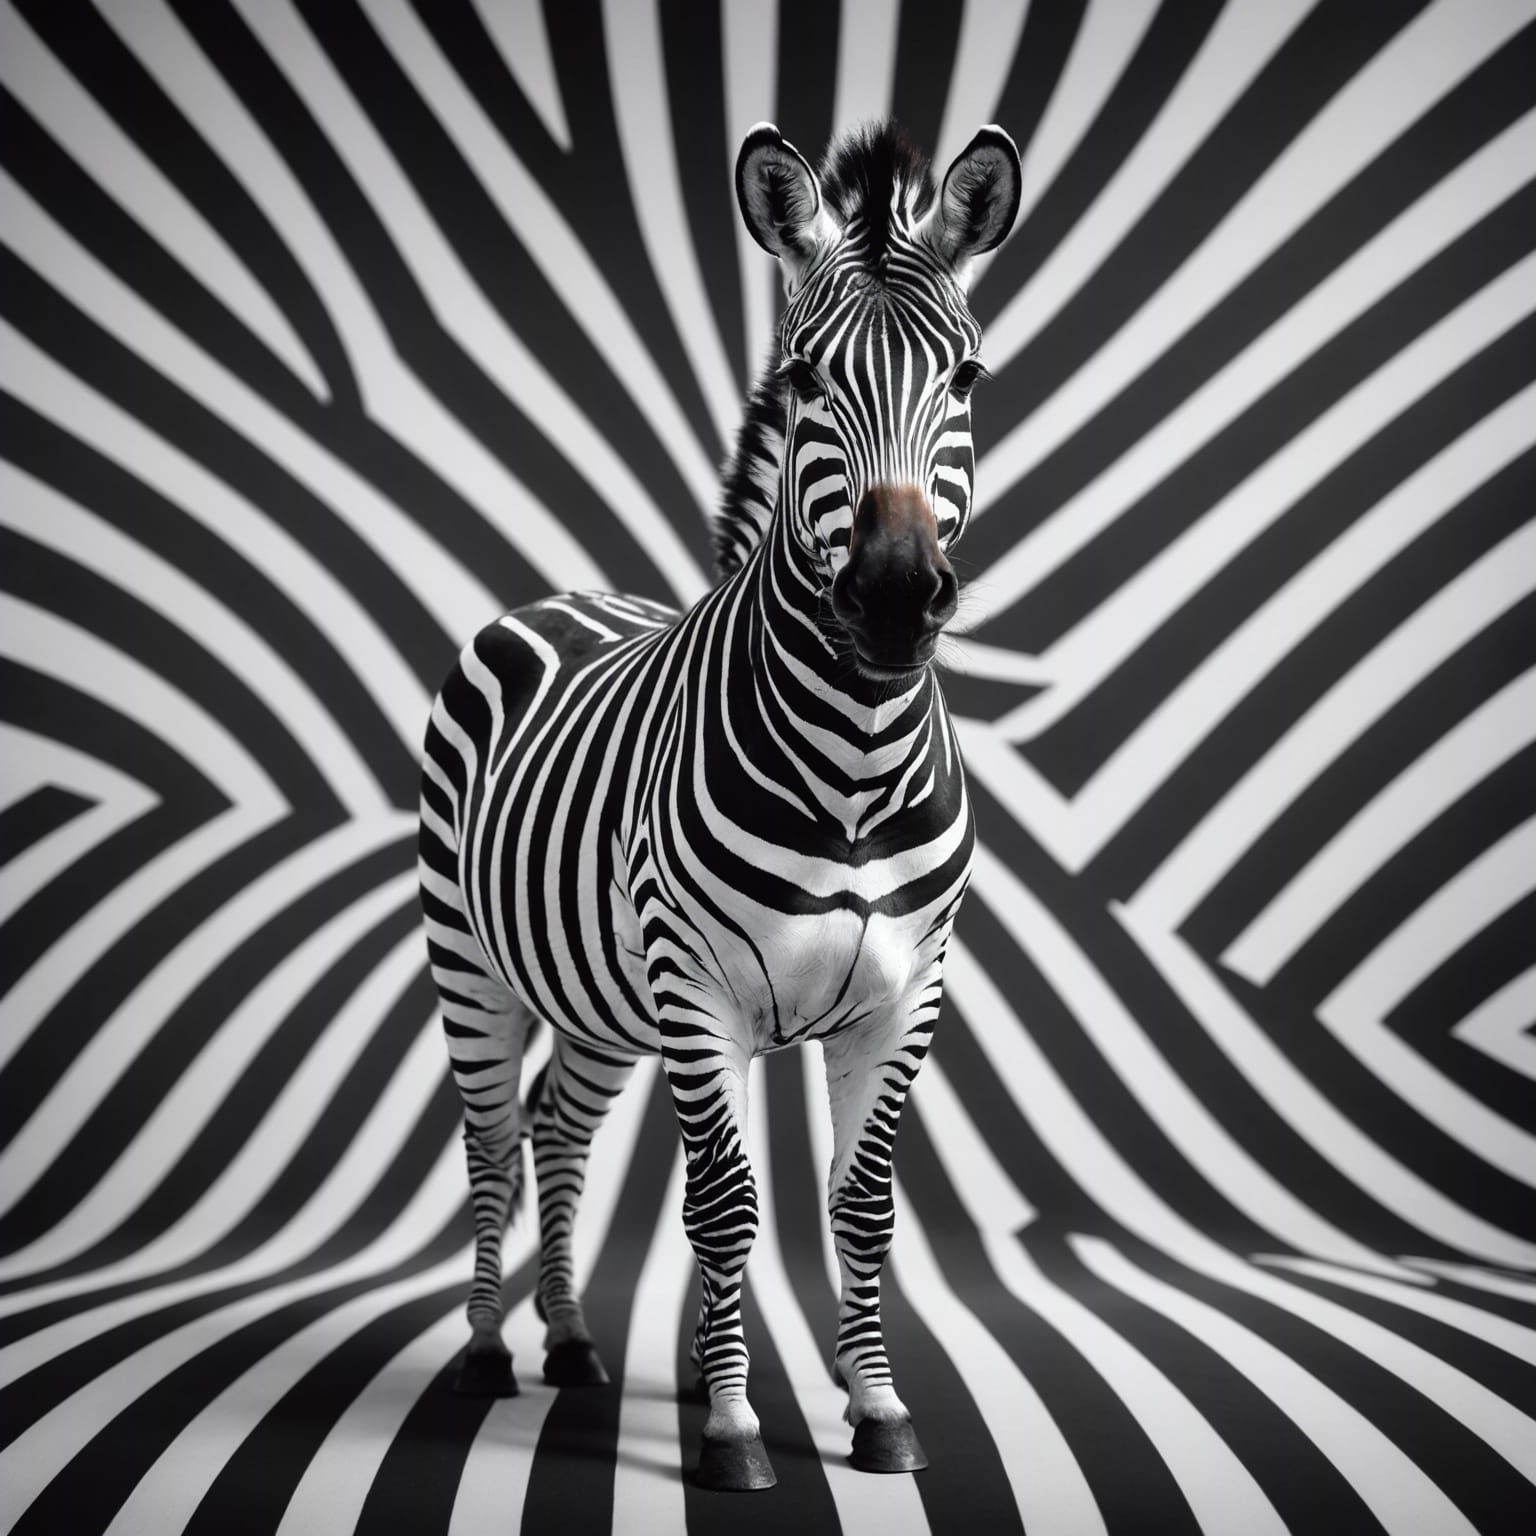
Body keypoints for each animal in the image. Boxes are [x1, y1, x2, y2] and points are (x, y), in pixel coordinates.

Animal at [418, 117, 1021, 1491]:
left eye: (967, 380)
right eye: (802, 381)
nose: (895, 597)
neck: (854, 767)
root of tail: (560, 594)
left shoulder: (908, 996)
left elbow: (858, 1205)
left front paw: (873, 1409)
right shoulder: (705, 996)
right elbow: (727, 1205)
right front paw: (738, 1427)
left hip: (596, 994)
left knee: (558, 1127)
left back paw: (573, 1340)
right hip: (470, 959)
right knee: (491, 1140)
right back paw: (485, 1354)